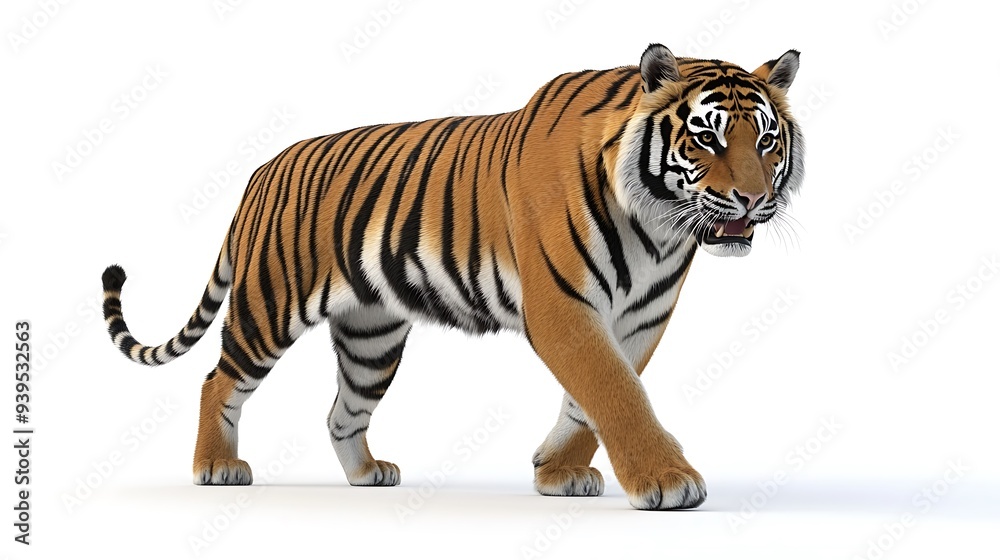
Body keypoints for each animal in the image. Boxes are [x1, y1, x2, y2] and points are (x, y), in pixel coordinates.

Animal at [101, 43, 804, 510]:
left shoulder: (642, 318)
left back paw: (367, 474)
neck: (658, 228)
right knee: (217, 381)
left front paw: (556, 471)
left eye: (767, 141)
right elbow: (615, 391)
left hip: (372, 336)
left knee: (341, 412)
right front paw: (666, 480)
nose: (751, 200)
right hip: (270, 304)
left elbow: (595, 397)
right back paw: (216, 467)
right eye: (707, 137)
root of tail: (263, 169)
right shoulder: (564, 308)